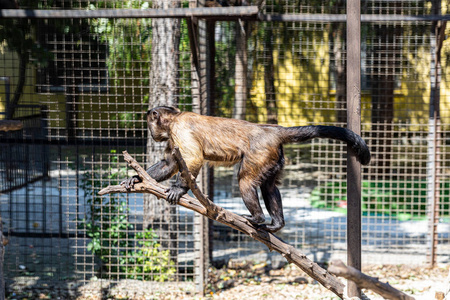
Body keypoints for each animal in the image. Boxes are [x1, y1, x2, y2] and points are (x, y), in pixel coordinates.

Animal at [121, 106, 370, 233]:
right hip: (273, 156)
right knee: (269, 186)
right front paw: (135, 178)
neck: (175, 119)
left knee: (245, 181)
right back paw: (277, 223)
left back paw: (258, 218)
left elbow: (193, 158)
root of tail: (271, 130)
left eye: (150, 122)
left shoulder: (180, 128)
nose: (149, 131)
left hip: (260, 152)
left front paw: (179, 189)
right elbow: (170, 163)